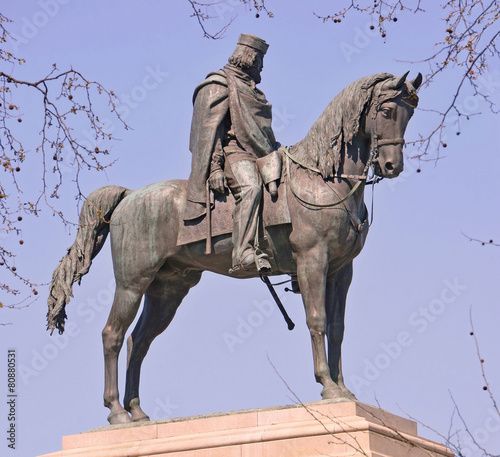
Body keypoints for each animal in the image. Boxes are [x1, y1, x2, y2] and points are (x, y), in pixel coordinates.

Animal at [47, 71, 422, 424]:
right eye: (387, 110)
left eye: (410, 113)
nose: (392, 166)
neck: (322, 180)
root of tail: (128, 197)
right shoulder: (312, 260)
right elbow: (317, 320)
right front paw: (327, 387)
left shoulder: (341, 271)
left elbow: (338, 327)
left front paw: (344, 390)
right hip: (132, 284)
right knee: (112, 335)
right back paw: (116, 412)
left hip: (167, 291)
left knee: (138, 341)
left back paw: (136, 412)